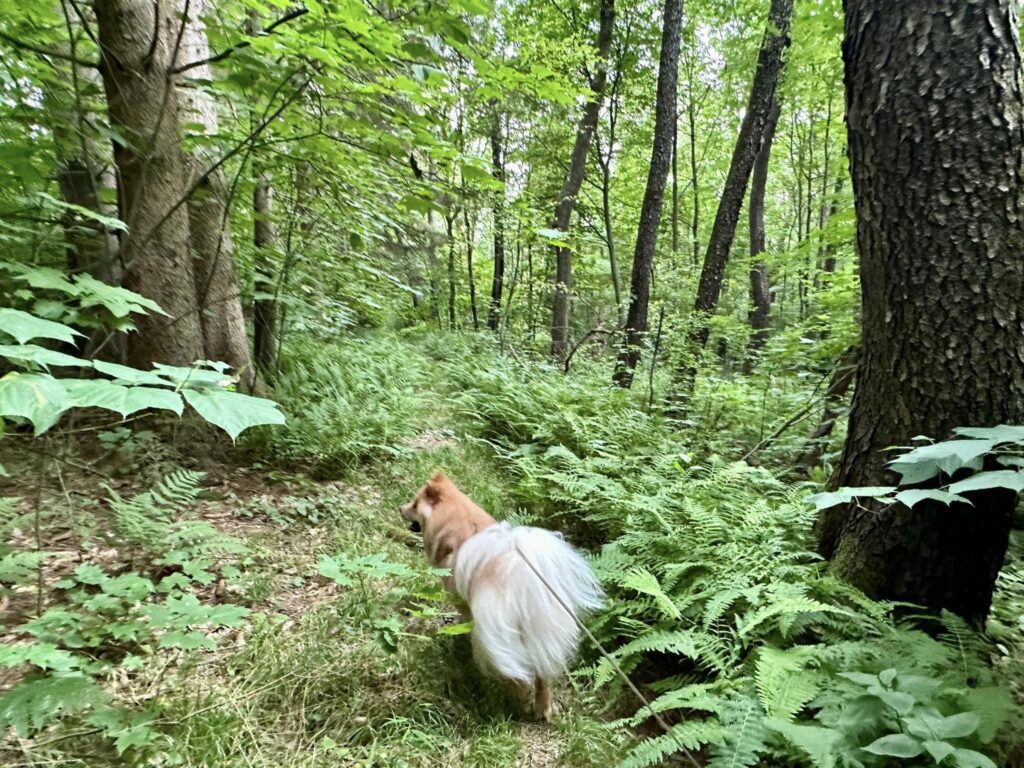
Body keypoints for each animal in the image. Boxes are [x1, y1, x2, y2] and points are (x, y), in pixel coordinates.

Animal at [399, 473, 602, 720]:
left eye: (414, 503)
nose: (400, 508)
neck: (460, 519)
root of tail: (525, 588)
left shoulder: (461, 599)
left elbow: (463, 617)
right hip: (543, 636)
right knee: (542, 678)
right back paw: (543, 710)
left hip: (498, 636)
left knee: (518, 677)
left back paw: (513, 701)